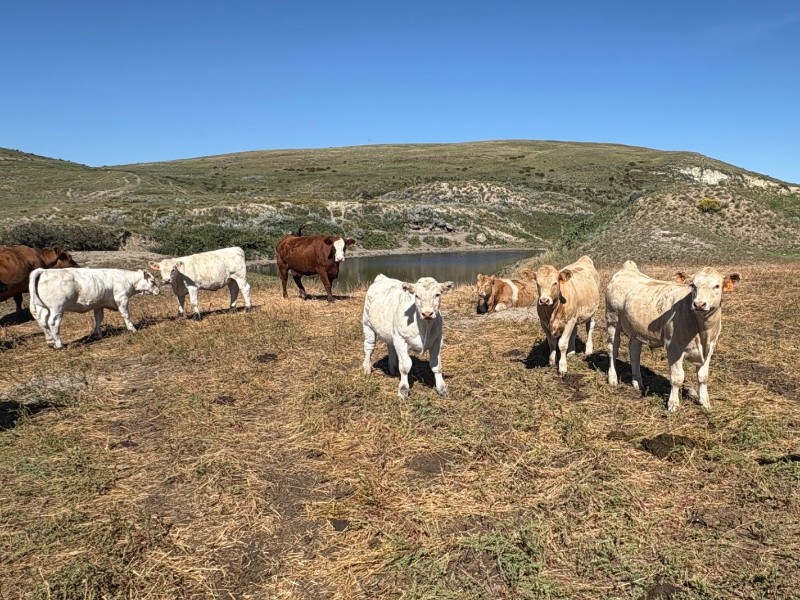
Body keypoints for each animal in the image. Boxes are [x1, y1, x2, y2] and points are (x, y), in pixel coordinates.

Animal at [29, 267, 160, 349]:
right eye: (152, 281)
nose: (158, 291)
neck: (126, 279)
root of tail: (44, 271)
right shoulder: (121, 299)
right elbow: (126, 315)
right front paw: (132, 329)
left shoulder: (99, 304)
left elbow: (98, 319)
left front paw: (98, 334)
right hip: (57, 308)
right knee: (53, 323)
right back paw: (59, 344)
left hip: (42, 307)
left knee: (43, 322)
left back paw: (50, 341)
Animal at [606, 260, 740, 412]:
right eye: (693, 285)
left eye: (717, 286)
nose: (699, 304)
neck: (702, 330)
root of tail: (627, 268)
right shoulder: (674, 347)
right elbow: (677, 378)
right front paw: (673, 404)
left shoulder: (710, 347)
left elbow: (703, 376)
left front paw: (705, 402)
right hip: (612, 319)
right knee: (612, 349)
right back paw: (613, 378)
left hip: (636, 328)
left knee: (634, 351)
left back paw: (637, 382)